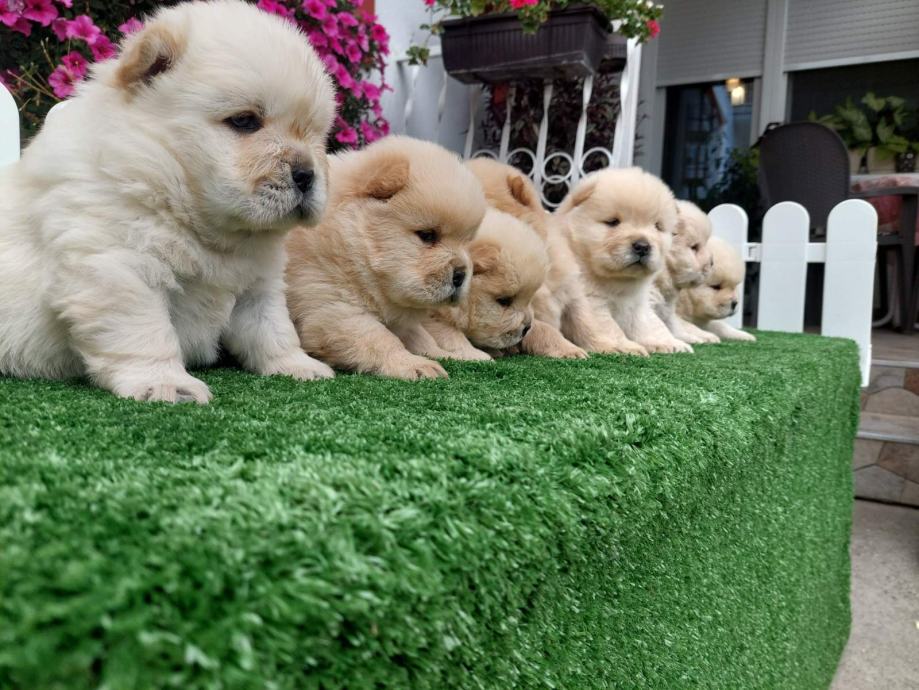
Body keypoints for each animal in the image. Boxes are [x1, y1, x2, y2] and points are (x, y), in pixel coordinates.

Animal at [0, 0, 336, 403]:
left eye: (316, 134)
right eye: (244, 121)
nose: (307, 175)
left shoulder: (259, 285)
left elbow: (273, 329)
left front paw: (298, 366)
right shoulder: (119, 268)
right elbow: (145, 332)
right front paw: (167, 385)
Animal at [285, 136, 486, 379]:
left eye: (466, 242)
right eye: (427, 235)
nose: (461, 275)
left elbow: (419, 336)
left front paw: (446, 355)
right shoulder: (331, 307)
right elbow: (380, 338)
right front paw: (415, 365)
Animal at [423, 208, 550, 359]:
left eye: (528, 299)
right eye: (504, 301)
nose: (527, 328)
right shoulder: (431, 315)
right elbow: (450, 335)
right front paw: (477, 356)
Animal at [557, 167, 690, 354]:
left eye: (657, 226)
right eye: (613, 222)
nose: (642, 246)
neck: (619, 283)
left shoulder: (636, 304)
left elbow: (642, 326)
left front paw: (662, 344)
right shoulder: (592, 302)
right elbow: (610, 328)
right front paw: (626, 347)